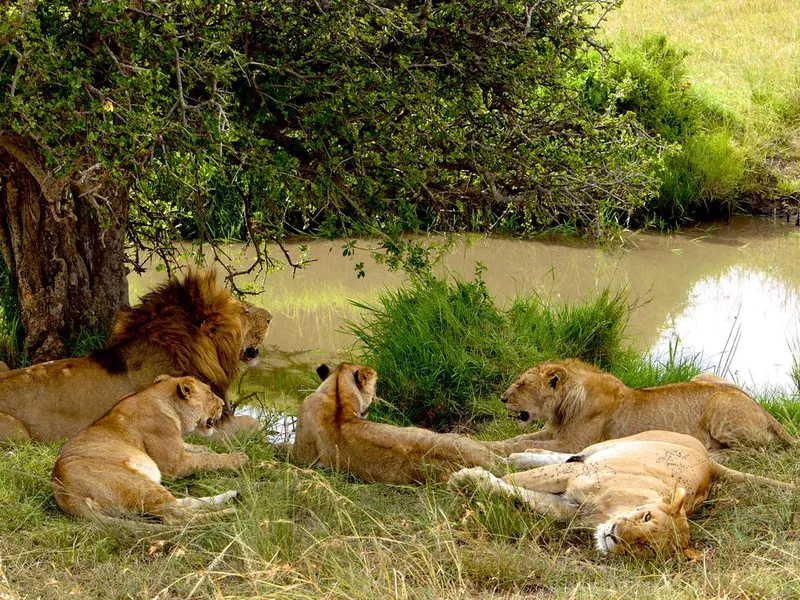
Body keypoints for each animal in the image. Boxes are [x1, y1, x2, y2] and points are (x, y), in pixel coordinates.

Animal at [53, 372, 247, 524]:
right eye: (210, 394)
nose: (223, 404)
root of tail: (66, 495)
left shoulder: (178, 447)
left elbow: (199, 450)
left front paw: (208, 449)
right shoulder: (174, 464)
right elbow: (206, 459)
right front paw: (238, 458)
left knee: (183, 503)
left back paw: (232, 495)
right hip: (138, 485)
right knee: (177, 517)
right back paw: (228, 515)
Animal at [450, 428, 792, 556]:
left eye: (645, 548)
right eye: (646, 517)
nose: (614, 536)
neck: (607, 511)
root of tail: (709, 462)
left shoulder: (568, 509)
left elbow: (515, 492)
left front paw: (476, 484)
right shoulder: (573, 477)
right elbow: (514, 478)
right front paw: (462, 480)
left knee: (567, 456)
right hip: (616, 444)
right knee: (570, 454)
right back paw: (520, 454)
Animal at [482, 356, 792, 454]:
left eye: (522, 384)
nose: (503, 398)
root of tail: (766, 412)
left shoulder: (572, 444)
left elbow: (524, 444)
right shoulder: (554, 432)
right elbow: (518, 438)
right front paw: (488, 444)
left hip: (719, 402)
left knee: (755, 451)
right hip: (706, 377)